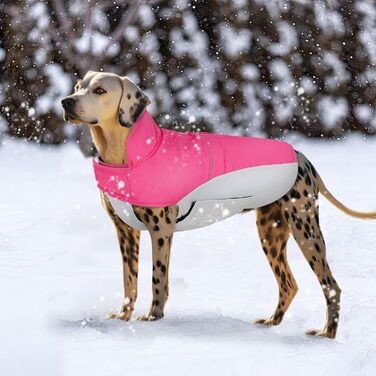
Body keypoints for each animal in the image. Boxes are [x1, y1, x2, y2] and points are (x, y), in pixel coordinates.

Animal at [61, 70, 376, 338]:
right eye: (77, 87)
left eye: (100, 90)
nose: (66, 102)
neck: (131, 153)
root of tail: (302, 156)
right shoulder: (126, 233)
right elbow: (130, 281)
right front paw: (123, 316)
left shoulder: (160, 231)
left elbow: (157, 279)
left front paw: (153, 317)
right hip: (271, 233)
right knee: (289, 285)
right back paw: (272, 321)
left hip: (305, 229)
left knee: (331, 286)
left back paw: (327, 333)